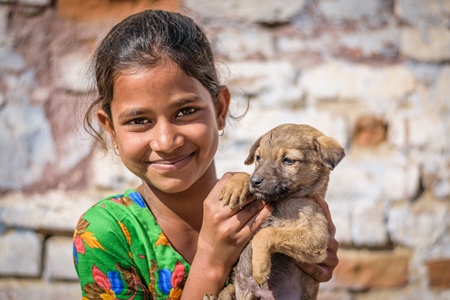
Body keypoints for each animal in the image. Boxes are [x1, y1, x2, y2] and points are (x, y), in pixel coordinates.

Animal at [207, 123, 344, 298]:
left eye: (288, 160)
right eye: (258, 158)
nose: (254, 181)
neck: (281, 199)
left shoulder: (316, 237)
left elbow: (266, 233)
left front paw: (259, 267)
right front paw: (237, 184)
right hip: (230, 288)